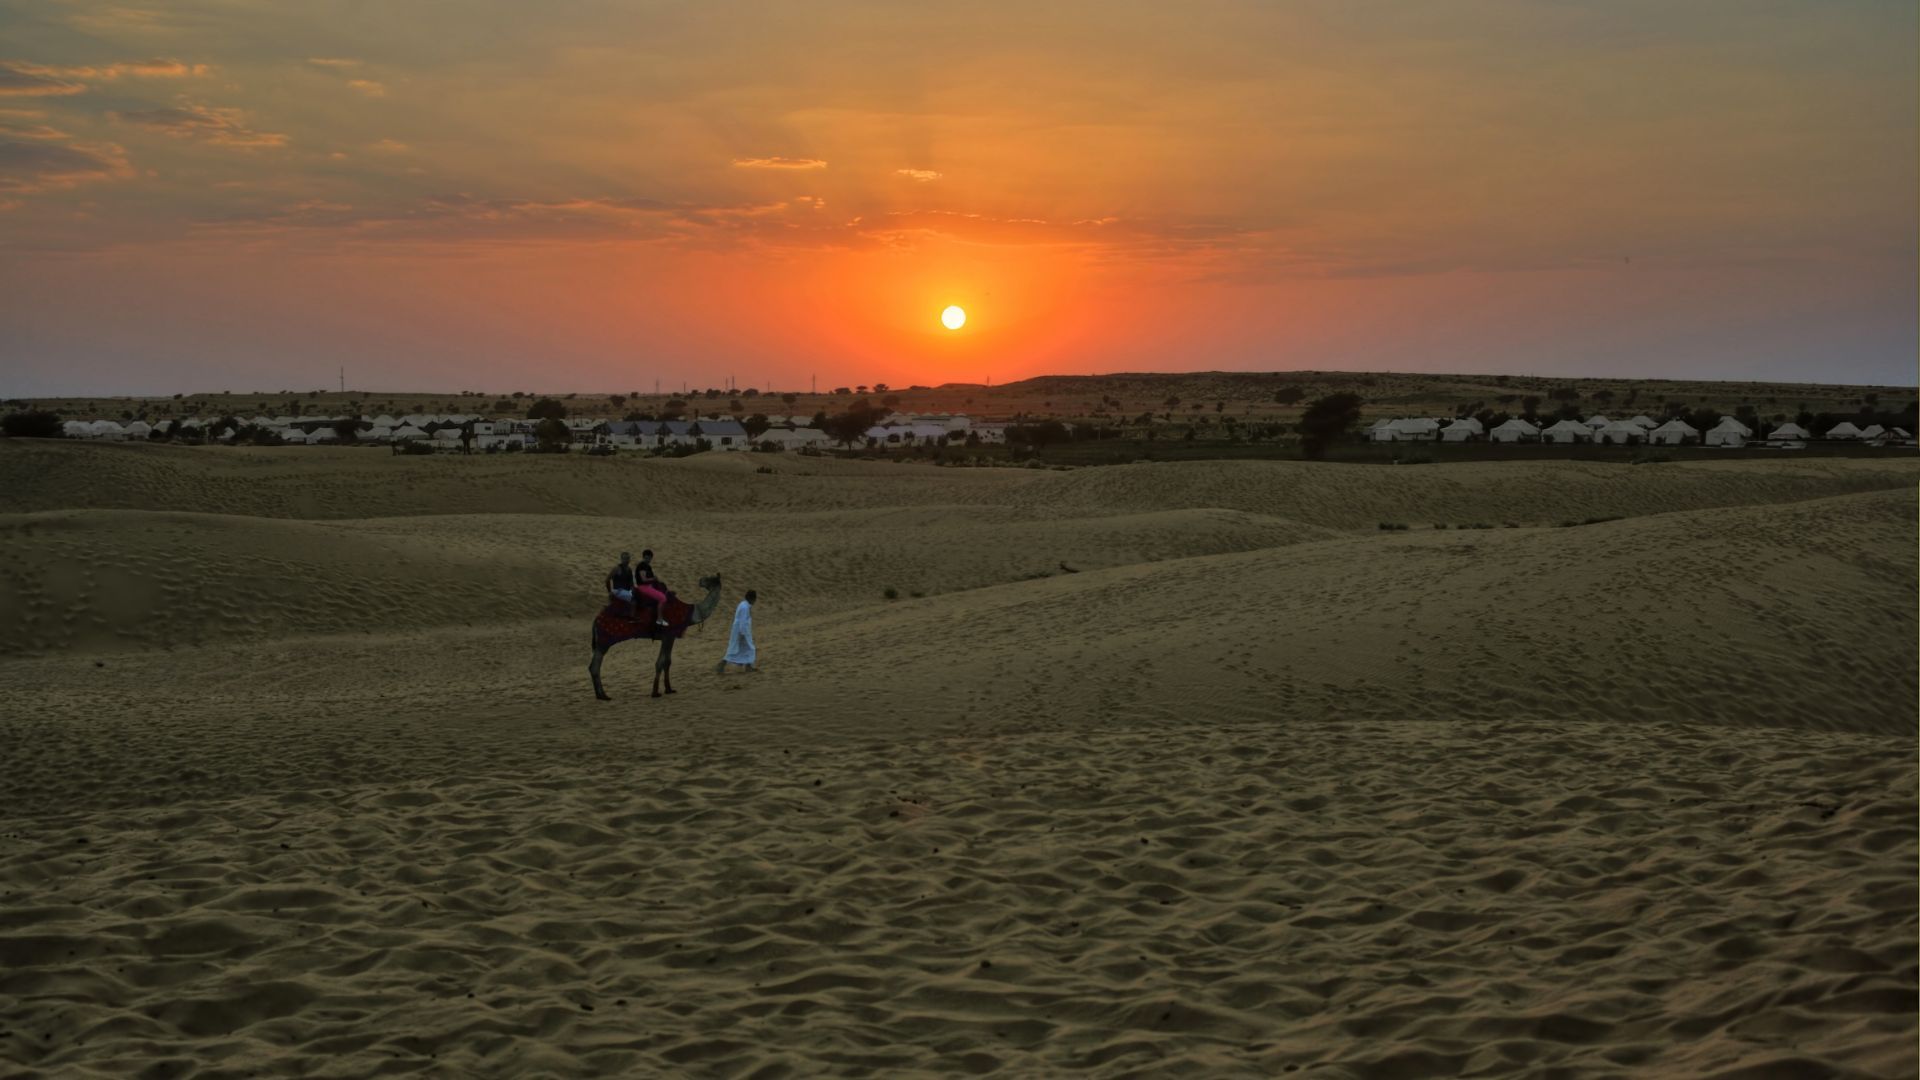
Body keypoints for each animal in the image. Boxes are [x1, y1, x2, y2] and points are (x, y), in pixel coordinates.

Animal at [583, 572, 721, 699]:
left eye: (712, 578)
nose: (701, 580)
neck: (690, 612)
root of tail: (596, 620)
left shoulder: (670, 637)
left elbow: (667, 662)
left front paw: (669, 689)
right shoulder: (668, 635)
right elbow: (660, 662)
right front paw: (655, 692)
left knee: (593, 666)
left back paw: (600, 695)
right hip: (604, 640)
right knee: (595, 666)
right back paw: (603, 696)